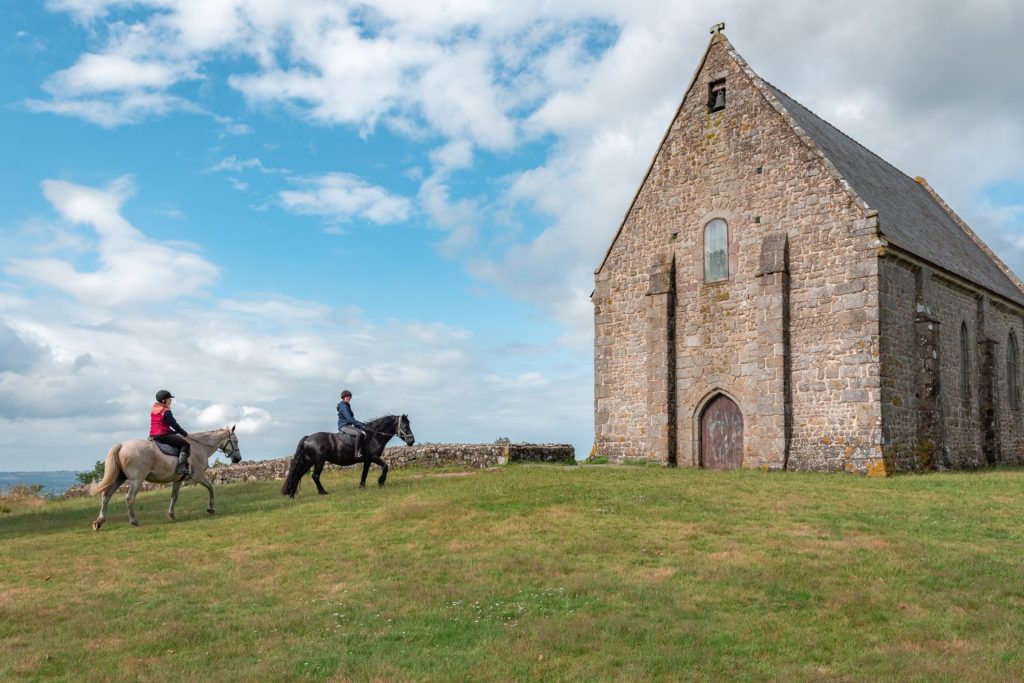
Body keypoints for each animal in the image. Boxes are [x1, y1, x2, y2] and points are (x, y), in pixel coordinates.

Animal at [90, 423, 241, 532]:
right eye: (235, 441)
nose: (238, 459)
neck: (199, 447)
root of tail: (122, 445)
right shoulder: (198, 476)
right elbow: (210, 487)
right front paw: (211, 508)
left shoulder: (178, 480)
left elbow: (174, 496)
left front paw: (171, 515)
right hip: (136, 480)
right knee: (129, 498)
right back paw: (134, 521)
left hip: (119, 478)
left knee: (106, 496)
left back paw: (99, 521)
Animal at [278, 411, 413, 497]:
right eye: (405, 425)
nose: (412, 441)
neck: (373, 435)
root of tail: (307, 438)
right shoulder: (373, 457)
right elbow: (385, 466)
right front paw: (381, 482)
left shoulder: (367, 460)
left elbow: (364, 474)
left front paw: (362, 487)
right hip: (319, 461)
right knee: (315, 476)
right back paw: (323, 492)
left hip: (308, 461)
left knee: (298, 475)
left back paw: (291, 495)